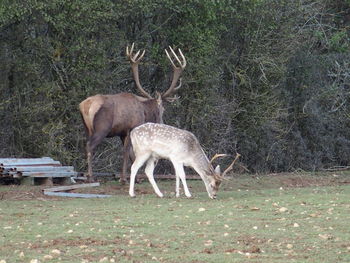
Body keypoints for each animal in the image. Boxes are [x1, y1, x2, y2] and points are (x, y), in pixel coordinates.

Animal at [79, 43, 186, 184]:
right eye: (162, 109)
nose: (162, 122)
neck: (144, 111)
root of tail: (86, 106)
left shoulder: (122, 132)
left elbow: (127, 153)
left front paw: (132, 178)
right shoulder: (132, 128)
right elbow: (129, 152)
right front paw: (125, 178)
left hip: (86, 128)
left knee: (86, 144)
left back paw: (87, 175)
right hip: (102, 128)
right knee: (90, 146)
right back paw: (91, 177)